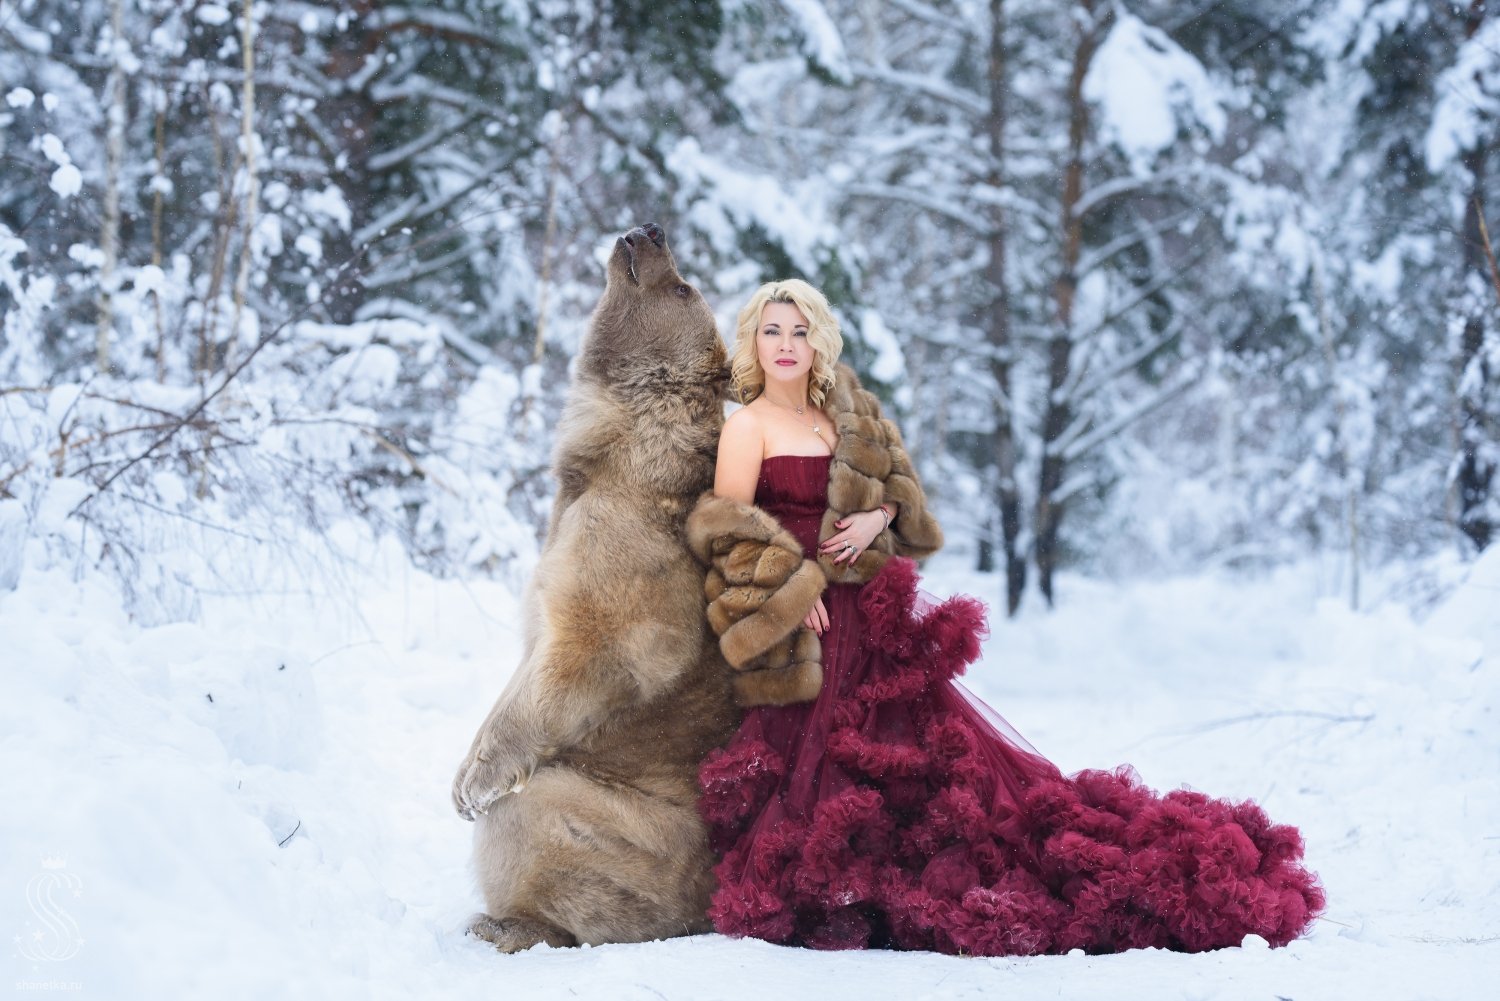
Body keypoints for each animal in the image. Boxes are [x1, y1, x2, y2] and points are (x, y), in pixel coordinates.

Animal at [453, 223, 741, 954]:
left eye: (682, 287)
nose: (651, 229)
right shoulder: (559, 538)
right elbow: (529, 655)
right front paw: (462, 765)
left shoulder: (623, 549)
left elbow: (595, 652)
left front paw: (476, 779)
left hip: (633, 831)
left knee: (534, 816)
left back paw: (505, 921)